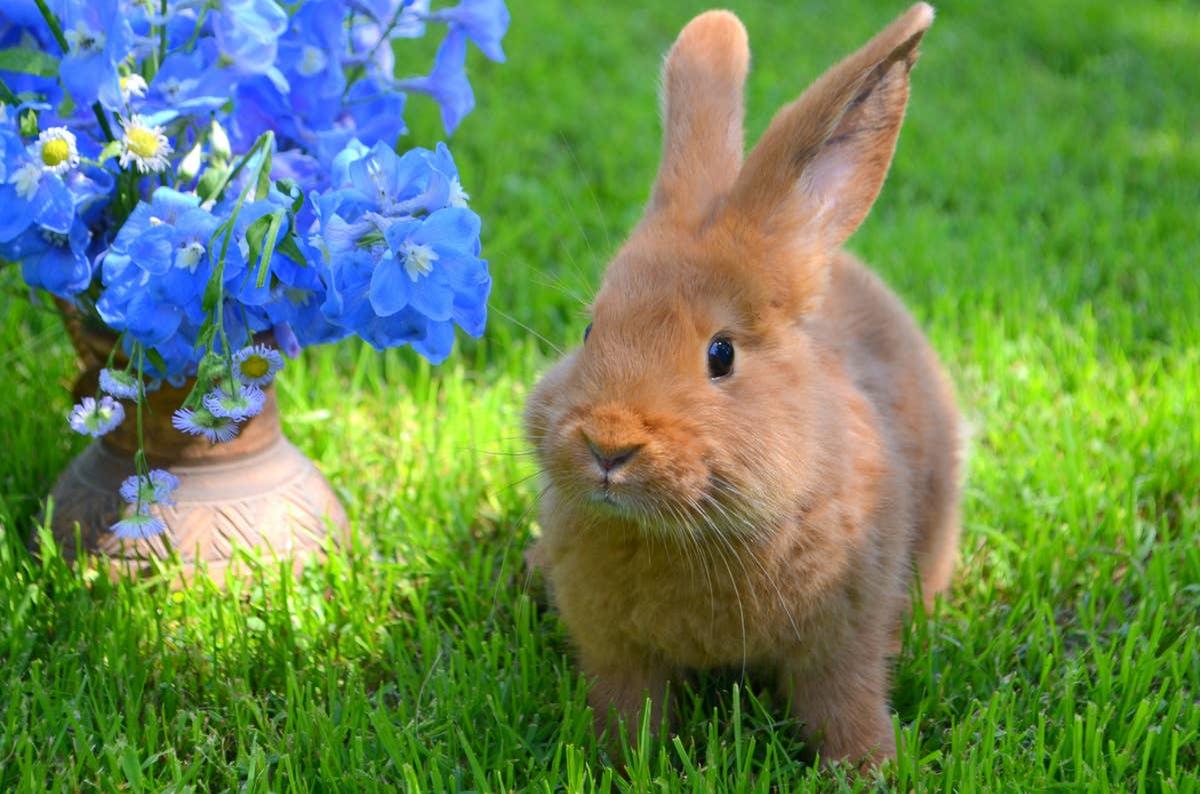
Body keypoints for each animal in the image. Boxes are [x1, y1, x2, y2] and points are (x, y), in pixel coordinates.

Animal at [524, 2, 962, 768]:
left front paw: (870, 768)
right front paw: (621, 762)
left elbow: (845, 704)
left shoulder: (842, 643)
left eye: (721, 354)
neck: (689, 533)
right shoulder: (616, 655)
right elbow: (629, 707)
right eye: (589, 331)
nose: (608, 446)